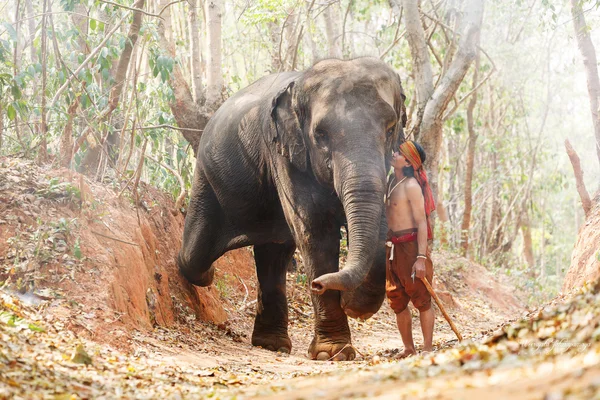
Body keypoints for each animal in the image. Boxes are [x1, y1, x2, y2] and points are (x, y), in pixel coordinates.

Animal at [176, 57, 406, 362]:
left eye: (391, 129)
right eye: (320, 135)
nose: (318, 283)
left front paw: (351, 306)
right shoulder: (283, 153)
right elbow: (314, 232)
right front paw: (332, 353)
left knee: (273, 252)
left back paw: (271, 344)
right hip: (208, 176)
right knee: (198, 251)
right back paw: (199, 272)